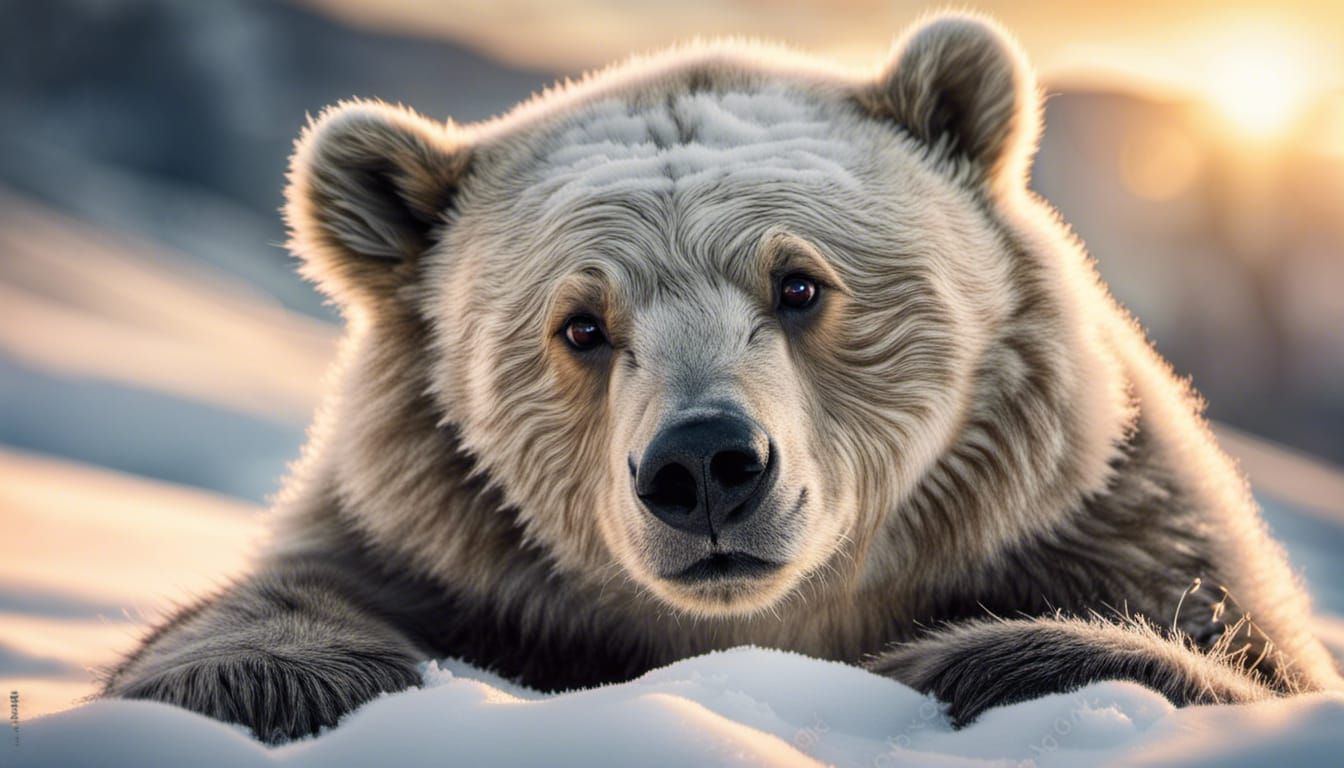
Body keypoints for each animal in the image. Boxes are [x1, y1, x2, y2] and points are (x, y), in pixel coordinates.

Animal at [103, 12, 1341, 744]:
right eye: (581, 325)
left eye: (798, 284)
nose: (705, 466)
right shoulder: (432, 546)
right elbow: (234, 631)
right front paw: (291, 682)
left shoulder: (1116, 530)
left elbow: (1216, 663)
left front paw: (984, 660)